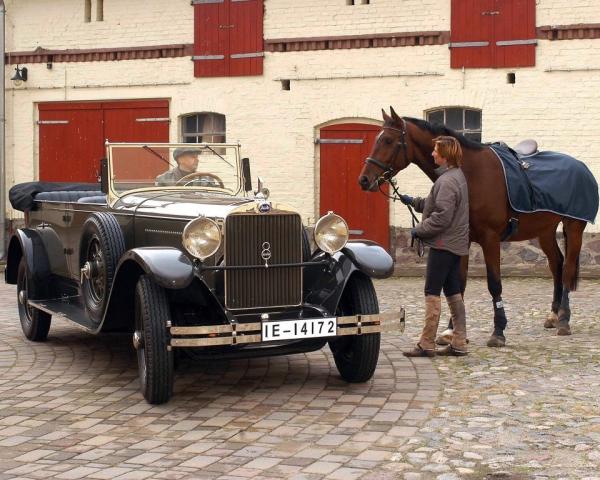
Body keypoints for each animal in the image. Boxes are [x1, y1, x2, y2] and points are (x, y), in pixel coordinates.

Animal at [358, 108, 588, 346]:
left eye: (387, 140)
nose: (364, 179)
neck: (471, 174)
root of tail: (580, 166)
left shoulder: (490, 239)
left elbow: (494, 284)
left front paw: (498, 331)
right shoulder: (463, 238)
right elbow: (458, 283)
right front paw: (451, 331)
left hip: (573, 227)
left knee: (567, 268)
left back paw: (564, 320)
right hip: (545, 231)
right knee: (557, 265)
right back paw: (553, 315)